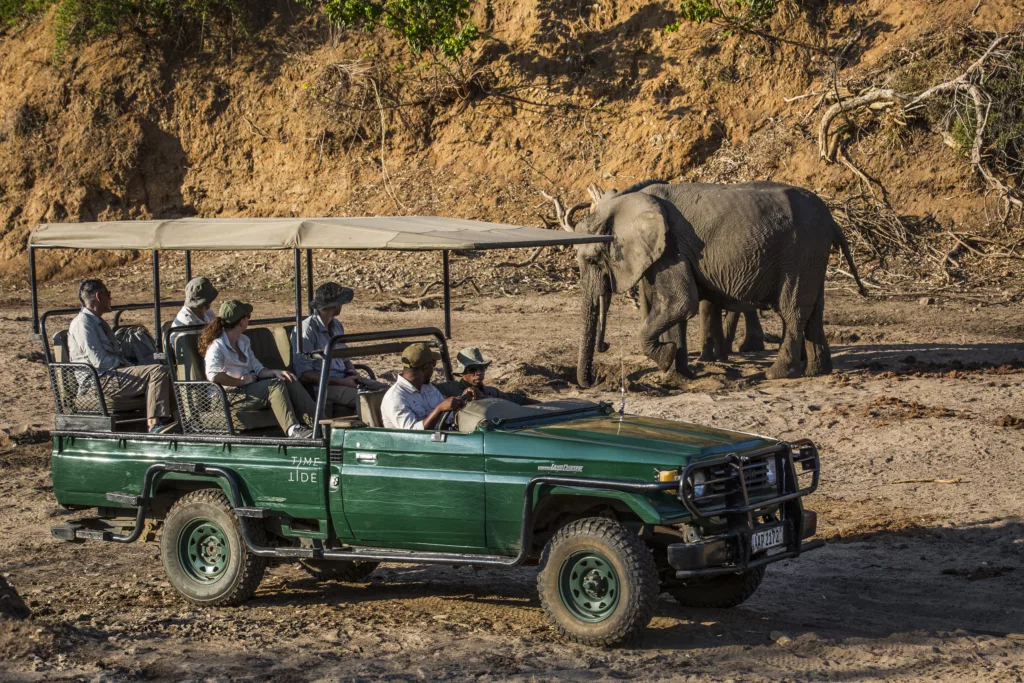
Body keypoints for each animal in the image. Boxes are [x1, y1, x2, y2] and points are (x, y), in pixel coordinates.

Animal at [569, 179, 864, 387]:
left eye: (593, 259)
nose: (594, 380)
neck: (626, 202)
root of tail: (833, 221)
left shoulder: (672, 248)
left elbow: (680, 303)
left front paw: (666, 359)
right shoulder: (665, 253)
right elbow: (674, 308)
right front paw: (679, 376)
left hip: (801, 252)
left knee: (793, 310)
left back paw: (777, 374)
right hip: (813, 255)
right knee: (814, 309)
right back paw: (818, 371)